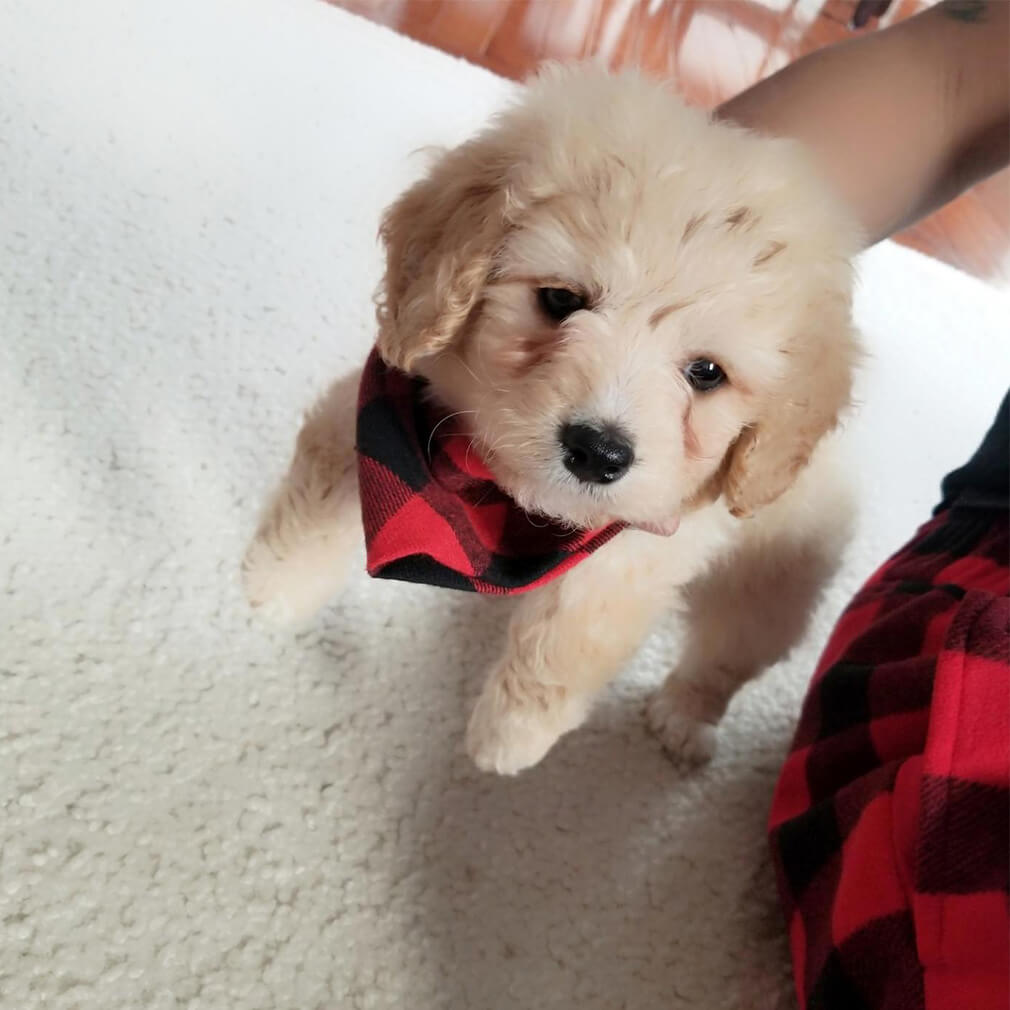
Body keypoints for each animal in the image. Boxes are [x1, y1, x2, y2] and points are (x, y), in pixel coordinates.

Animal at [242, 65, 860, 771]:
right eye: (561, 300)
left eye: (707, 372)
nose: (598, 452)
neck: (497, 498)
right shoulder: (380, 407)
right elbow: (320, 491)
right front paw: (275, 584)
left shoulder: (639, 541)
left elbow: (570, 636)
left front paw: (508, 736)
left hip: (772, 584)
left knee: (726, 654)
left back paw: (684, 717)